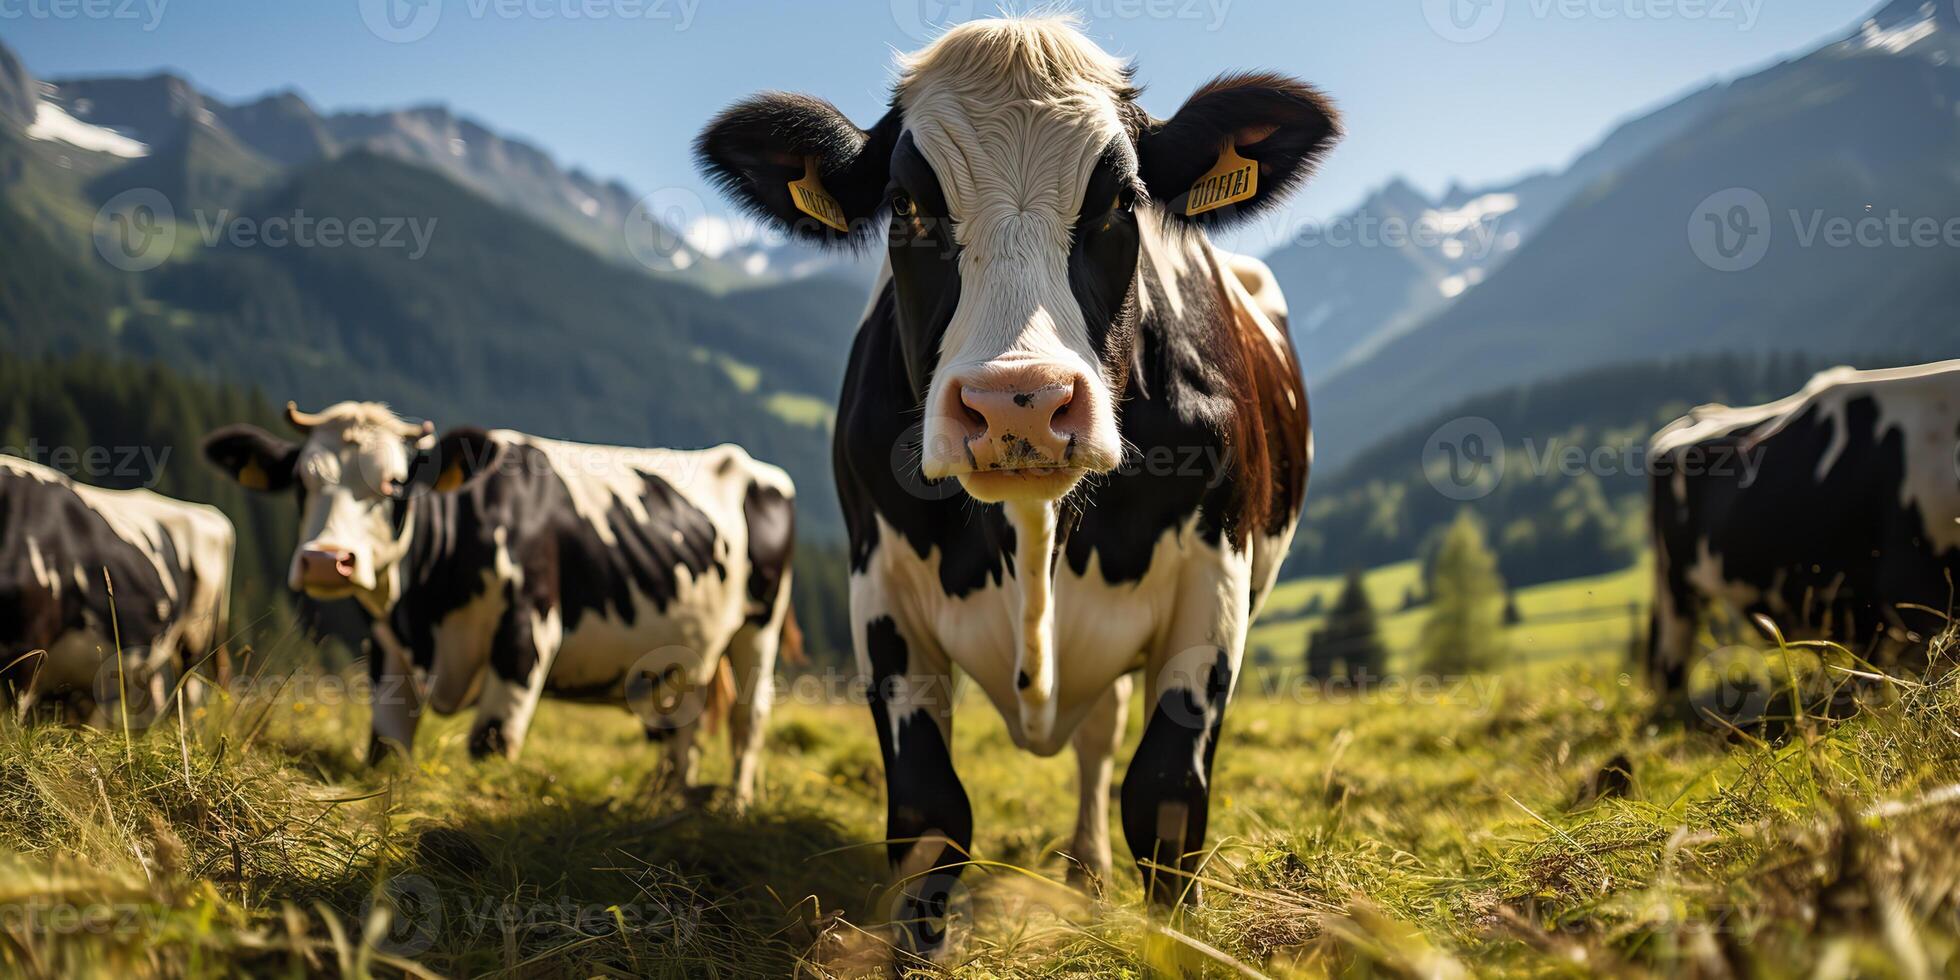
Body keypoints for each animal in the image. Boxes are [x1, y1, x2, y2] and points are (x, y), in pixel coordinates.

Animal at [202, 403, 799, 803]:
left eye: (394, 484)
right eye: (301, 482)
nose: (327, 560)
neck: (427, 609)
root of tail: (753, 466)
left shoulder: (527, 632)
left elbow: (489, 744)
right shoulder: (389, 646)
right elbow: (386, 746)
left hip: (759, 628)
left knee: (748, 718)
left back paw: (737, 806)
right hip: (685, 654)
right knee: (685, 729)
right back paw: (667, 804)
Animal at [697, 15, 1340, 956]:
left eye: (1120, 201)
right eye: (908, 205)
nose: (1019, 402)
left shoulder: (1214, 578)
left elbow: (1164, 801)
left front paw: (1170, 946)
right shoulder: (880, 588)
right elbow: (929, 812)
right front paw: (914, 956)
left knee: (1101, 742)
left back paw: (1087, 870)